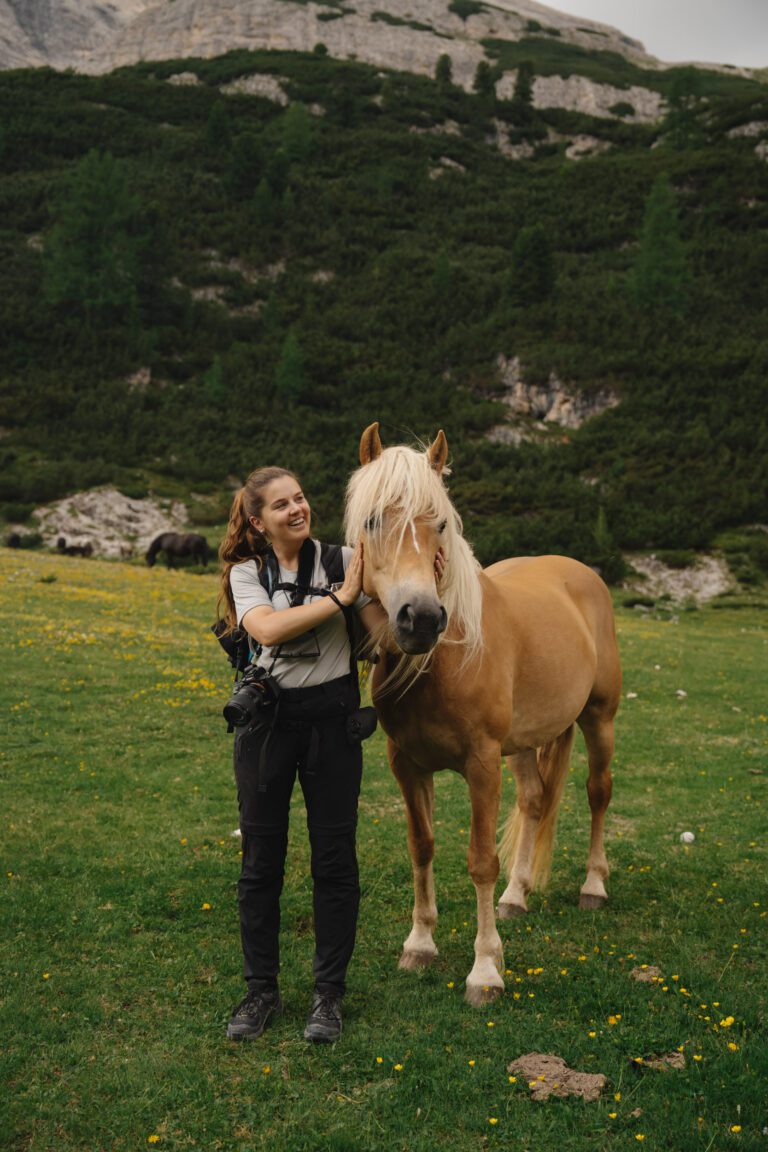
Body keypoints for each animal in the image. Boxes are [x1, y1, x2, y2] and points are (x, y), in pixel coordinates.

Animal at [345, 426, 621, 1009]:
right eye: (373, 520)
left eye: (441, 522)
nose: (422, 618)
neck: (445, 662)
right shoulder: (407, 764)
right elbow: (421, 846)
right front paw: (420, 944)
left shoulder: (481, 765)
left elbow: (479, 861)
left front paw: (486, 971)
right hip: (524, 745)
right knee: (536, 799)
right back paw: (516, 897)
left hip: (599, 719)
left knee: (597, 793)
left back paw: (593, 886)